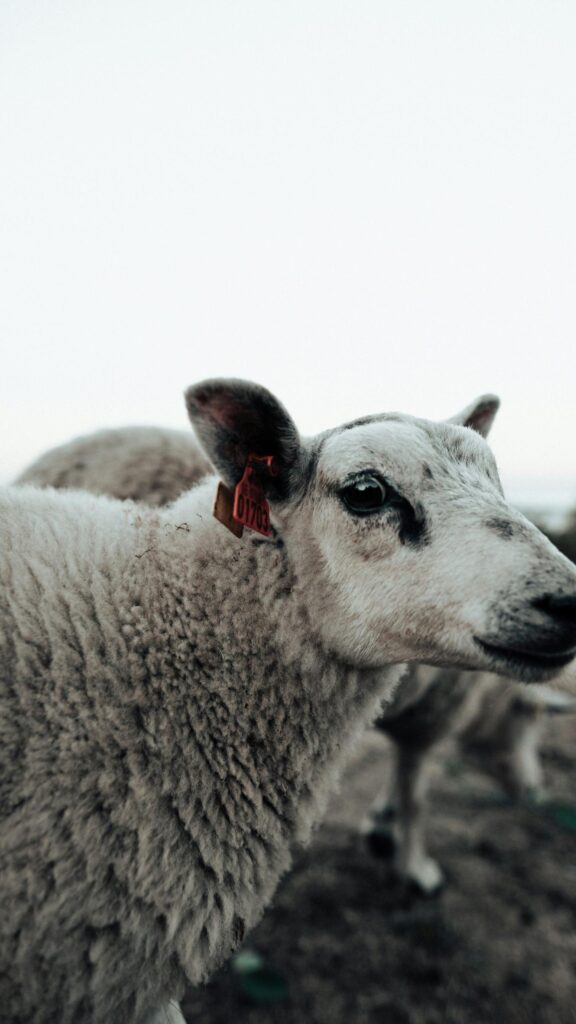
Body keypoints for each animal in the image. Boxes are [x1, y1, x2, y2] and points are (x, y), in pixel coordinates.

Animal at [3, 377, 576, 1024]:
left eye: (497, 480)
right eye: (366, 492)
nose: (569, 601)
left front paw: (384, 831)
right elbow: (418, 790)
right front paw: (415, 864)